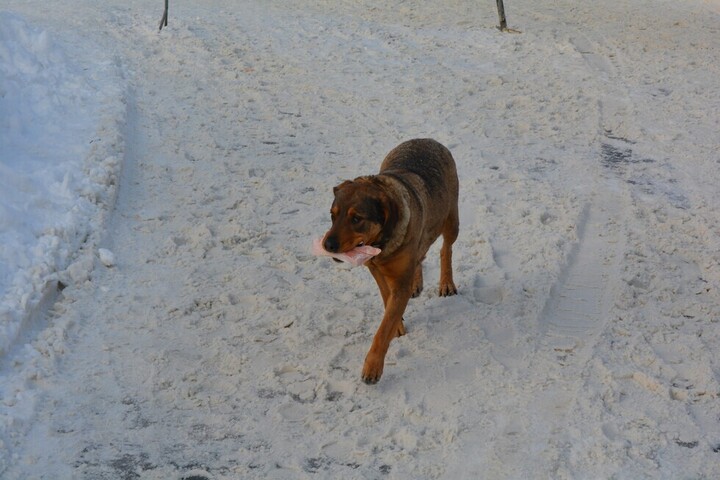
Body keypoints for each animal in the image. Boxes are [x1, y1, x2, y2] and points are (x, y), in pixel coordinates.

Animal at [322, 138, 458, 382]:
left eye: (356, 219)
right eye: (332, 215)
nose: (327, 245)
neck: (380, 244)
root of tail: (428, 139)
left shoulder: (399, 278)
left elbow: (383, 328)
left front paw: (372, 366)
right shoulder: (375, 269)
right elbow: (387, 300)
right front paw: (398, 324)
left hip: (452, 220)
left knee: (446, 248)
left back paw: (446, 282)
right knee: (420, 254)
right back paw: (417, 282)